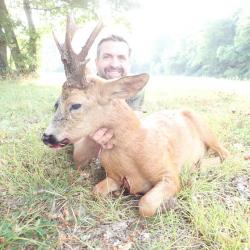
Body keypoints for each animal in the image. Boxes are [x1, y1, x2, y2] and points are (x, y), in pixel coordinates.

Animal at [42, 16, 229, 217]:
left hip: (207, 129)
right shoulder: (114, 176)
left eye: (76, 104)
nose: (46, 136)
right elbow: (96, 191)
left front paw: (169, 203)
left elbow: (145, 203)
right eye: (57, 103)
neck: (133, 148)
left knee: (225, 154)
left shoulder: (169, 174)